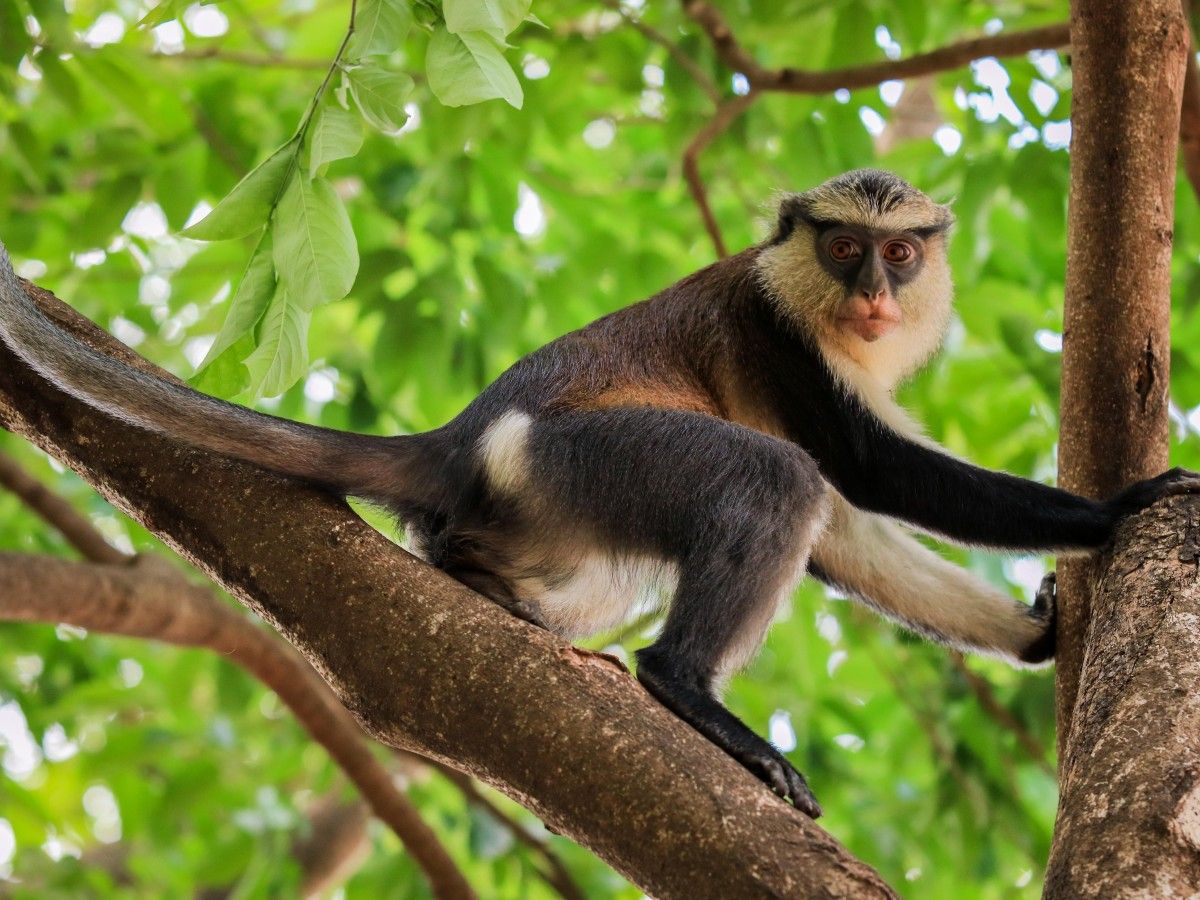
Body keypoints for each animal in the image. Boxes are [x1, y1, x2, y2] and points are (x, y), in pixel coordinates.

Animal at [1, 168, 1197, 819]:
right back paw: (684, 689)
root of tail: (462, 437)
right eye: (845, 247)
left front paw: (1037, 634)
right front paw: (1125, 507)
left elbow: (847, 532)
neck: (814, 309)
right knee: (772, 479)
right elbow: (858, 476)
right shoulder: (778, 336)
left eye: (900, 254)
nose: (872, 294)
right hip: (579, 457)